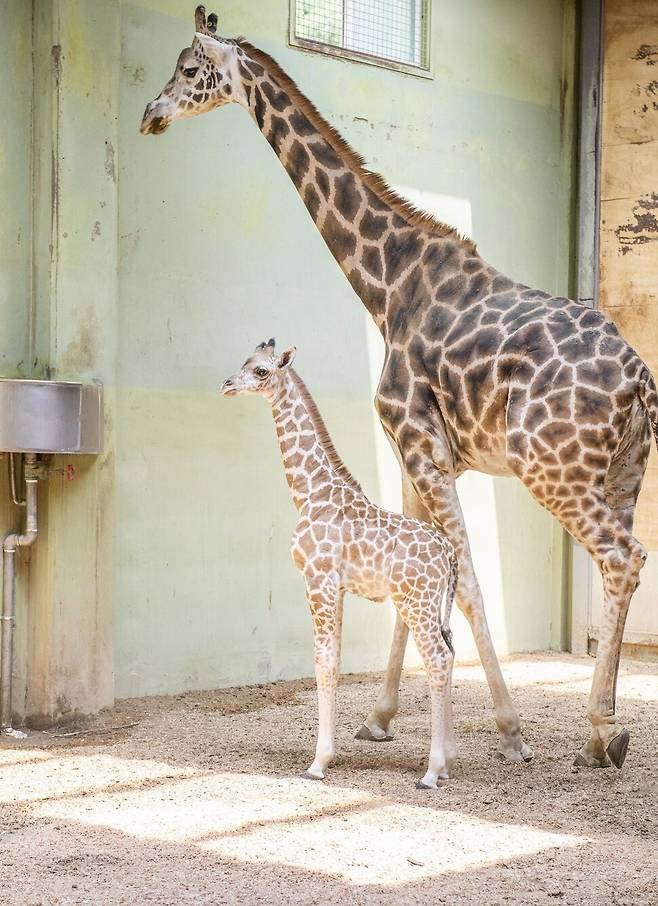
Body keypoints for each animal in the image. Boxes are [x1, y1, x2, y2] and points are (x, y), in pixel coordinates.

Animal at [220, 338, 456, 784]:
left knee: (436, 658)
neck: (309, 492)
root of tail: (449, 553)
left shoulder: (318, 579)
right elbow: (336, 660)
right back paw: (449, 762)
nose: (226, 385)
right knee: (449, 654)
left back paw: (432, 771)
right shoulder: (339, 587)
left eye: (260, 371)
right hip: (432, 606)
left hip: (414, 603)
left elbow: (323, 661)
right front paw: (326, 757)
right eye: (243, 361)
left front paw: (319, 762)